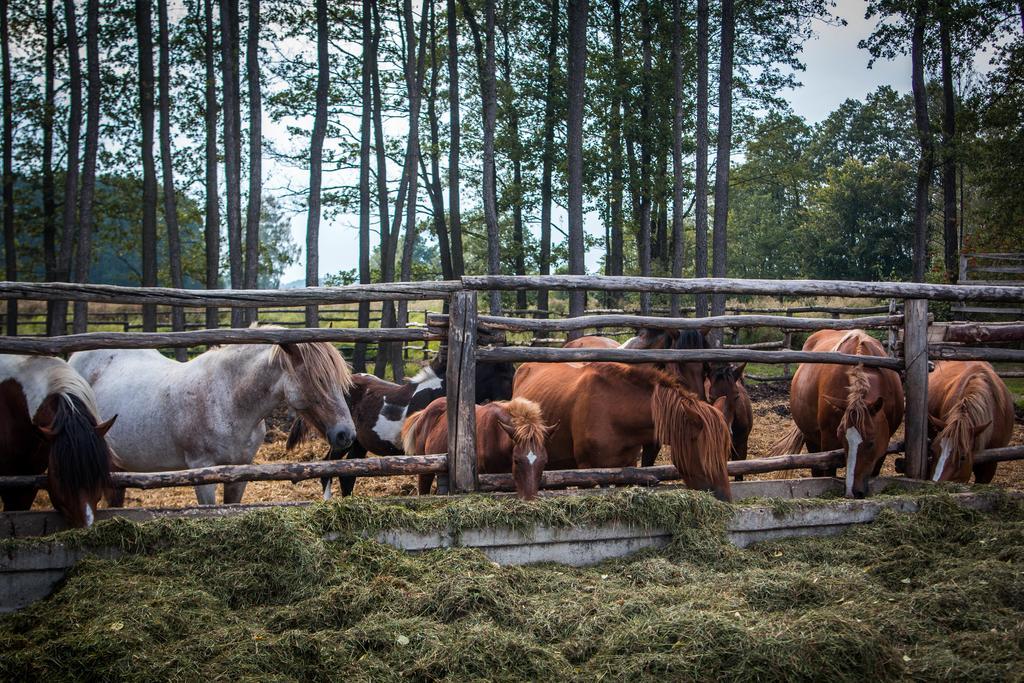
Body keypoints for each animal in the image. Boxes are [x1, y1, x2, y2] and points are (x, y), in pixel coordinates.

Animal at [399, 395, 552, 501]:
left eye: (544, 462)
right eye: (516, 460)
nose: (530, 499)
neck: (496, 433)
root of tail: (423, 413)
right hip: (426, 471)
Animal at [516, 360, 733, 499]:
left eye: (725, 452)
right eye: (703, 453)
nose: (724, 498)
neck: (615, 412)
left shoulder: (627, 467)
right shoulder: (588, 469)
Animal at [770, 327, 905, 499]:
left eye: (871, 442)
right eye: (842, 438)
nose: (853, 491)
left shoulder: (884, 443)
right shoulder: (829, 441)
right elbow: (829, 473)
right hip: (811, 440)